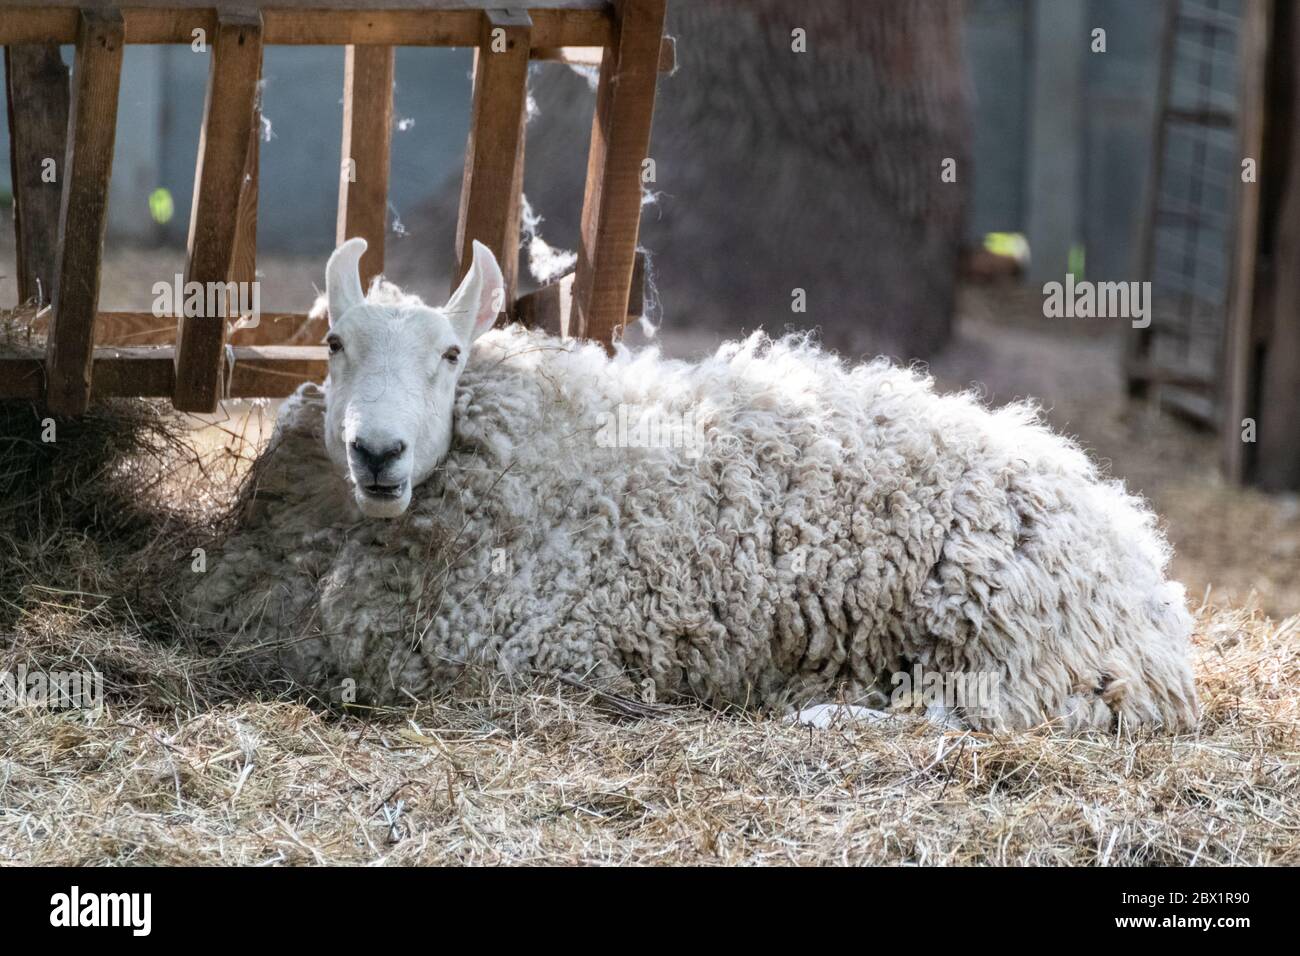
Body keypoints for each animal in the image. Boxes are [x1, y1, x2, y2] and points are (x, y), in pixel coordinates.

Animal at [188, 239, 1201, 733]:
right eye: (333, 343)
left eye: (449, 355)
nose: (379, 453)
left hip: (1009, 638)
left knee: (986, 711)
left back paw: (829, 714)